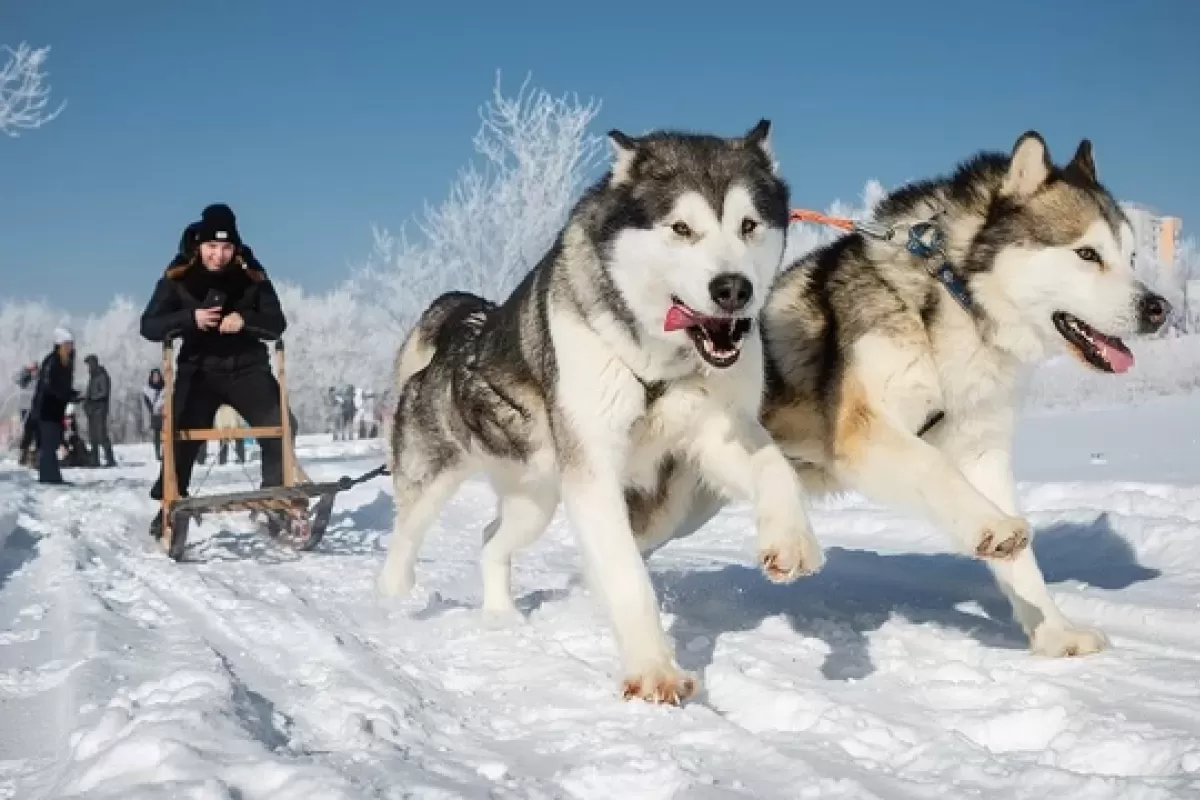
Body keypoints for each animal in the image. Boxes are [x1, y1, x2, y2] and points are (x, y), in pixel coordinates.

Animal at [381, 122, 825, 705]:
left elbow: (774, 465)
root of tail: (463, 330)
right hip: (435, 479)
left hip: (536, 502)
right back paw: (390, 600)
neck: (660, 361)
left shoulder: (714, 434)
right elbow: (626, 575)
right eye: (681, 227)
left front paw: (789, 538)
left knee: (490, 540)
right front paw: (654, 669)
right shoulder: (593, 471)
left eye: (749, 224)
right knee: (404, 537)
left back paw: (500, 614)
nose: (733, 288)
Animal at [628, 130, 1171, 657]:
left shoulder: (982, 452)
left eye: (1131, 257)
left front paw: (1055, 632)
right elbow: (933, 469)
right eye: (1087, 254)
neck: (954, 295)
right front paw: (994, 530)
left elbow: (1020, 560)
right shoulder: (866, 431)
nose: (1158, 308)